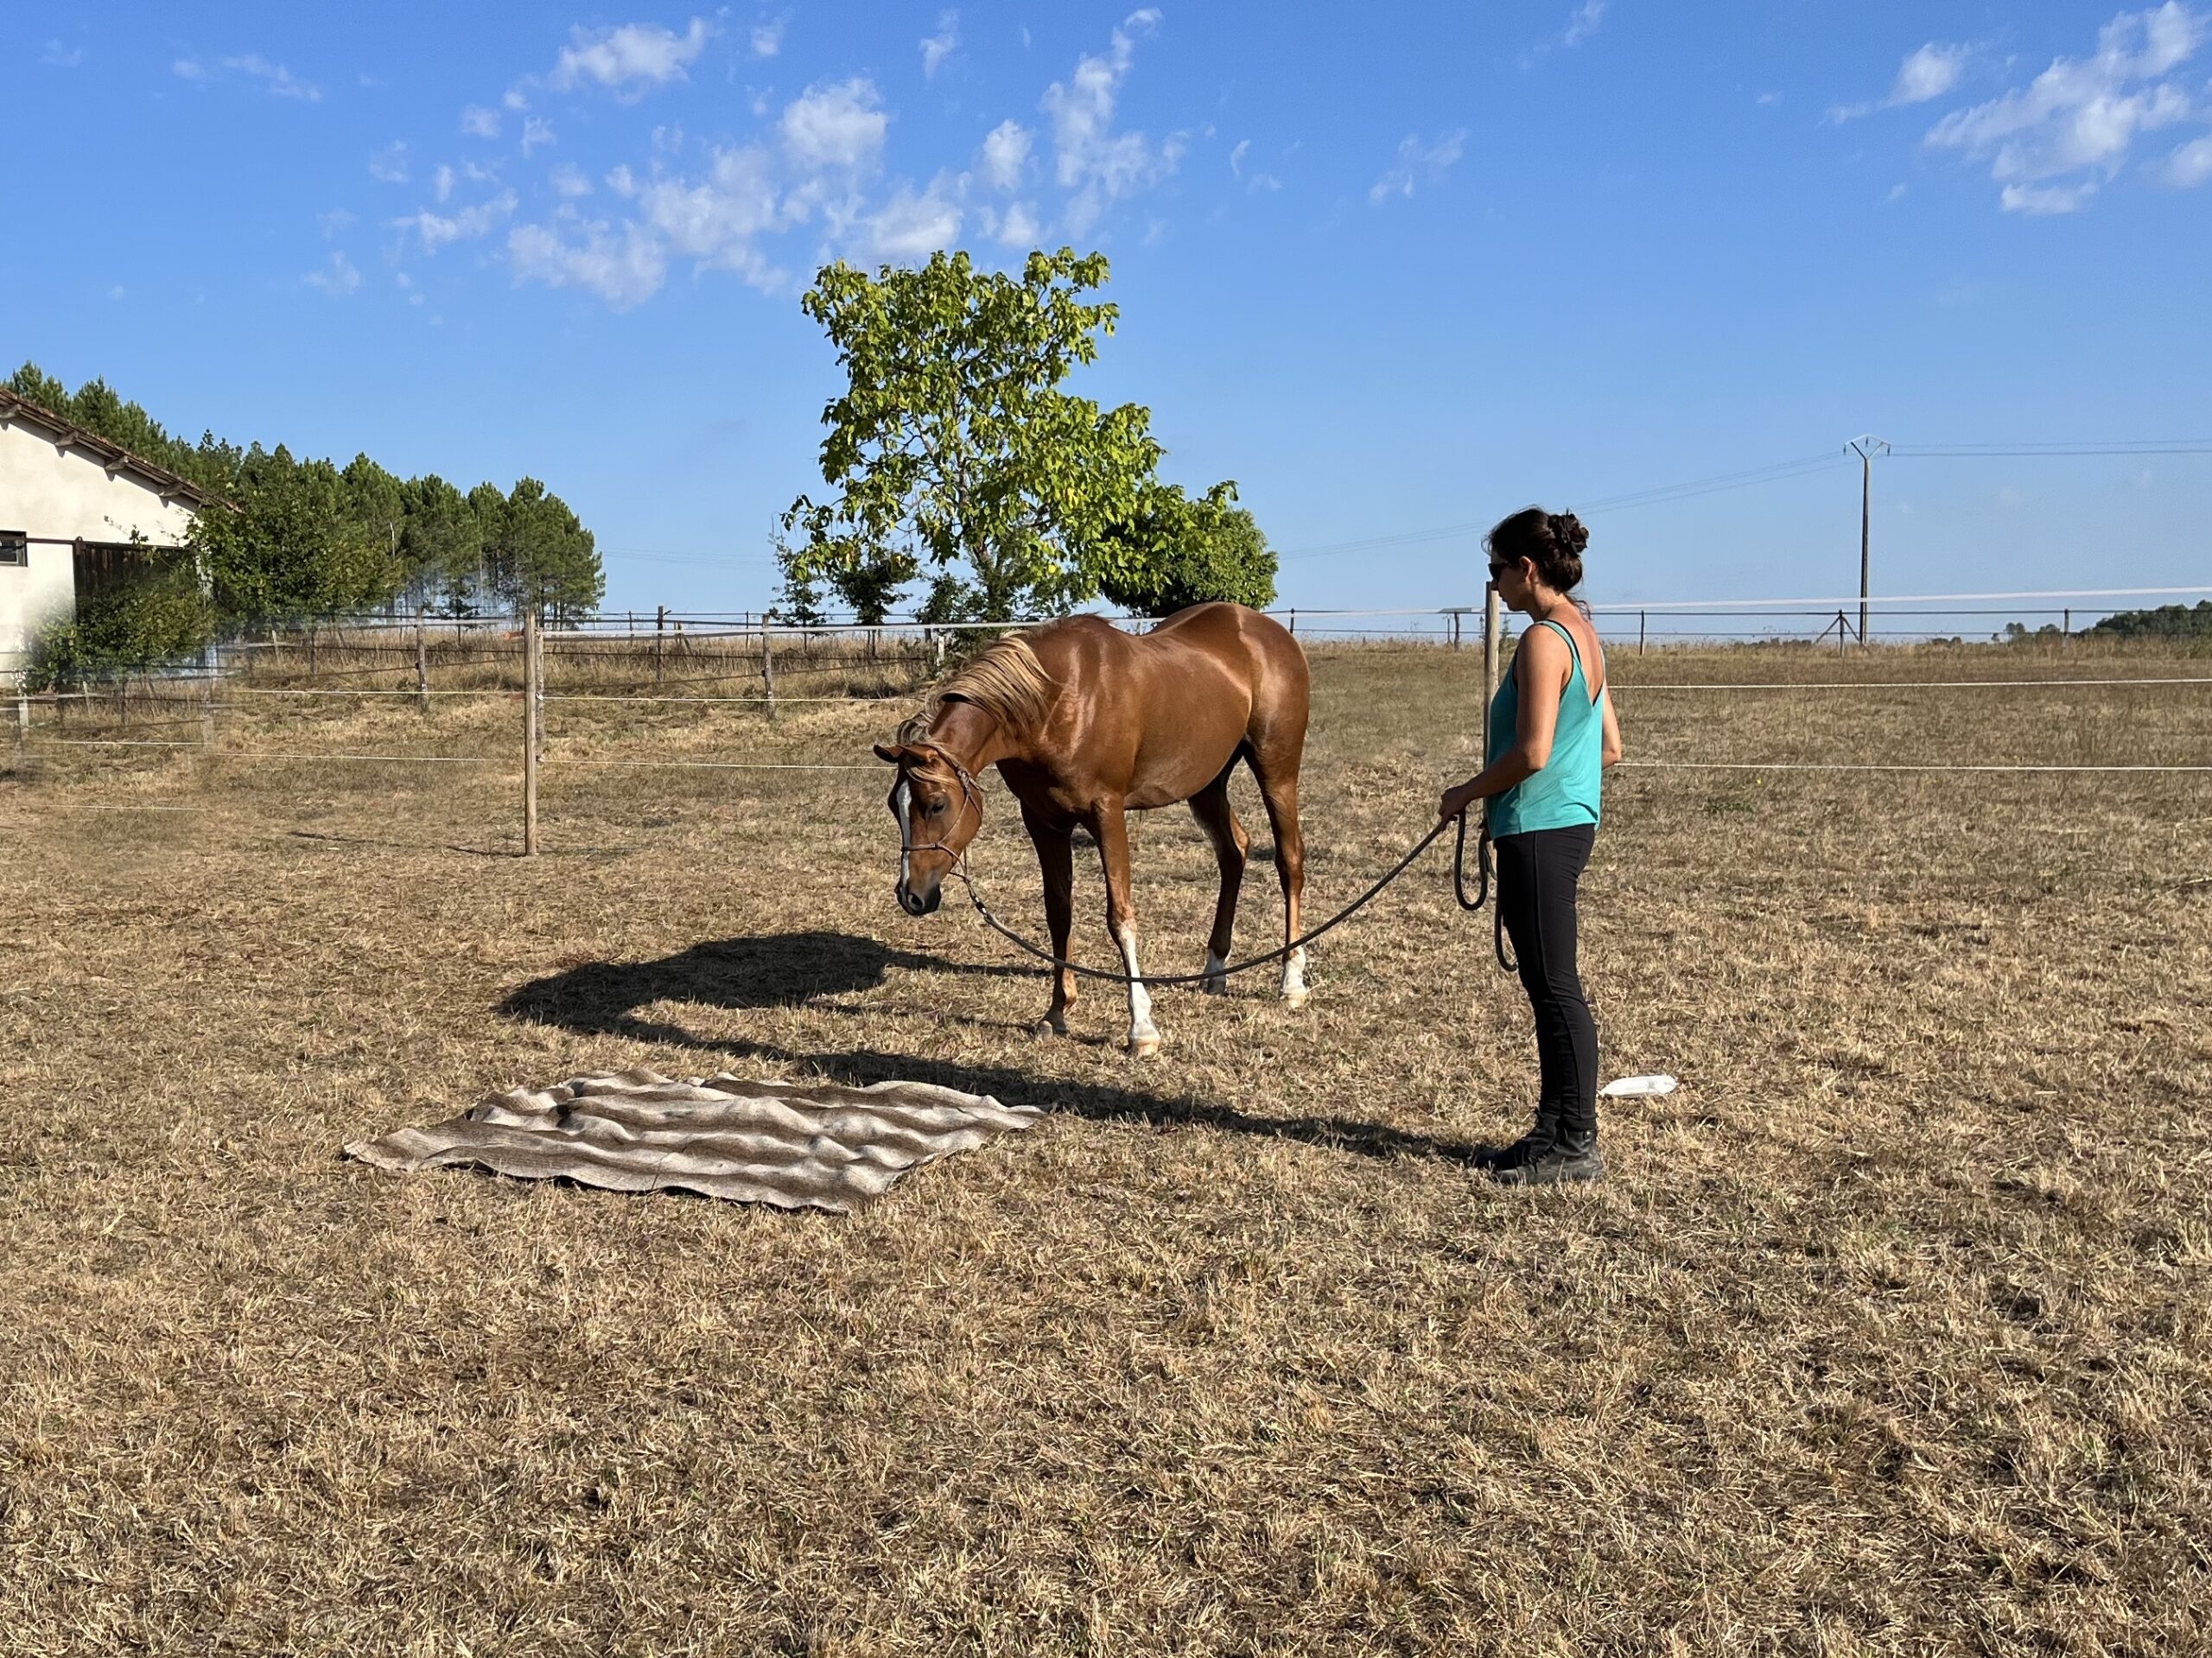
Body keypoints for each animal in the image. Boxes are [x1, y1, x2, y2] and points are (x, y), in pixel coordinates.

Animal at [871, 606, 1300, 1057]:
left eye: (937, 804)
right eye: (894, 806)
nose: (911, 896)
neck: (1055, 702)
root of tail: (1265, 631)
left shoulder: (1107, 813)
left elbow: (1120, 917)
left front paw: (1142, 1028)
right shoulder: (1043, 821)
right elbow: (1058, 913)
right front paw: (1057, 1011)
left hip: (1277, 773)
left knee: (1289, 861)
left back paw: (1291, 981)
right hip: (1206, 786)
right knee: (1234, 851)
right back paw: (1215, 970)